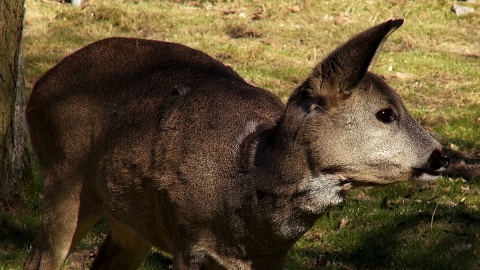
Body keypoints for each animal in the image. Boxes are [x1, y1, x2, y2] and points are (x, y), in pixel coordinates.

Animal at [24, 19, 448, 270]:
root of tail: (39, 87)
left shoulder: (270, 261)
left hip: (129, 218)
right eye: (385, 113)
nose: (441, 155)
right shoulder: (187, 240)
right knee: (38, 258)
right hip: (63, 175)